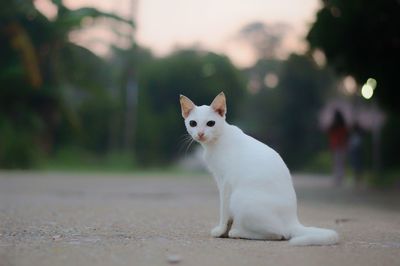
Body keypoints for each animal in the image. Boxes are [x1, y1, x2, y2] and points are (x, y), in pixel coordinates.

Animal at [180, 92, 340, 246]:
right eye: (193, 123)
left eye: (210, 123)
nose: (200, 133)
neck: (216, 141)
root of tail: (293, 220)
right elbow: (228, 216)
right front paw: (224, 232)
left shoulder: (225, 184)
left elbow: (224, 211)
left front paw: (221, 231)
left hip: (239, 197)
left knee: (278, 234)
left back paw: (239, 232)